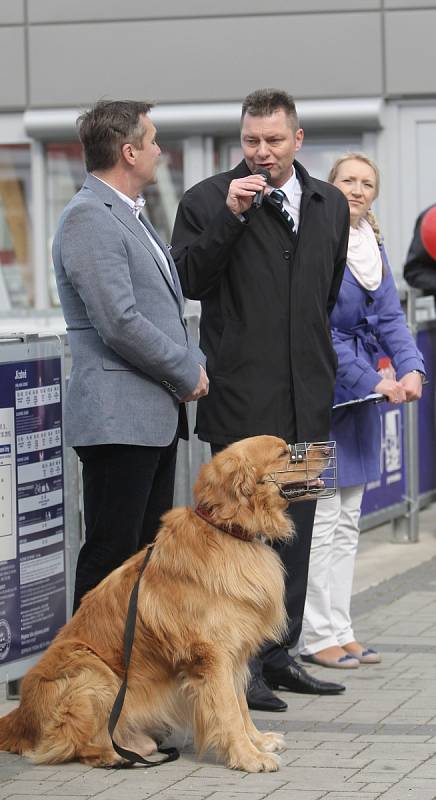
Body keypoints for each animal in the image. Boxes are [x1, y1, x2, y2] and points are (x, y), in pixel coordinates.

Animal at [0, 434, 328, 772]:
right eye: (284, 454)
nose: (327, 450)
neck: (227, 531)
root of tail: (18, 717)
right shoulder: (212, 655)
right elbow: (228, 710)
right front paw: (248, 756)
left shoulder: (233, 652)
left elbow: (240, 704)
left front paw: (258, 741)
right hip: (92, 672)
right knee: (75, 745)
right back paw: (115, 755)